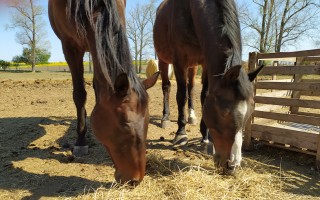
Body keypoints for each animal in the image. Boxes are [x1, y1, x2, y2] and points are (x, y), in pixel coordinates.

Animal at [48, 0, 159, 184]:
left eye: (148, 120)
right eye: (124, 124)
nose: (135, 180)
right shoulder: (69, 46)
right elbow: (80, 94)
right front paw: (80, 141)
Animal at [154, 0, 264, 174]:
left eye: (250, 113)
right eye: (224, 112)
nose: (232, 166)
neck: (190, 11)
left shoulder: (205, 62)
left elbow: (204, 95)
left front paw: (206, 137)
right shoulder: (179, 60)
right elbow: (181, 95)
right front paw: (181, 133)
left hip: (192, 66)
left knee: (191, 88)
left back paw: (191, 117)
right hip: (164, 60)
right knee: (167, 87)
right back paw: (165, 117)